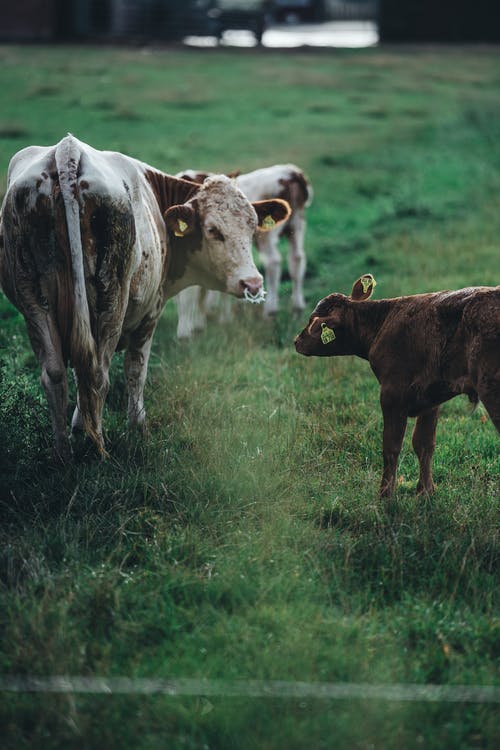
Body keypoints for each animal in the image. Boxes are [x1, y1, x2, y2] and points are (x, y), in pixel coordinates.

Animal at [0, 137, 292, 462]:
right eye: (213, 230)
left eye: (253, 226)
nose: (252, 283)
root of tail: (67, 150)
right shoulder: (151, 313)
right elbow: (135, 369)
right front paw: (137, 430)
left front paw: (78, 426)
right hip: (111, 301)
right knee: (99, 373)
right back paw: (98, 448)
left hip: (33, 302)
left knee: (56, 373)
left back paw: (64, 453)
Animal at [175, 166, 312, 340]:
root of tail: (291, 173)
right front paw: (206, 320)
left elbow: (190, 292)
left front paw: (187, 330)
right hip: (297, 224)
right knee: (297, 260)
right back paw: (297, 309)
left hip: (267, 235)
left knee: (273, 262)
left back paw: (270, 311)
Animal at [294, 276, 500, 500]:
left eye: (314, 321)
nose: (297, 340)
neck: (382, 322)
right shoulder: (430, 398)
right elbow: (424, 444)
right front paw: (425, 492)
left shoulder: (392, 393)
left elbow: (391, 446)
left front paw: (385, 495)